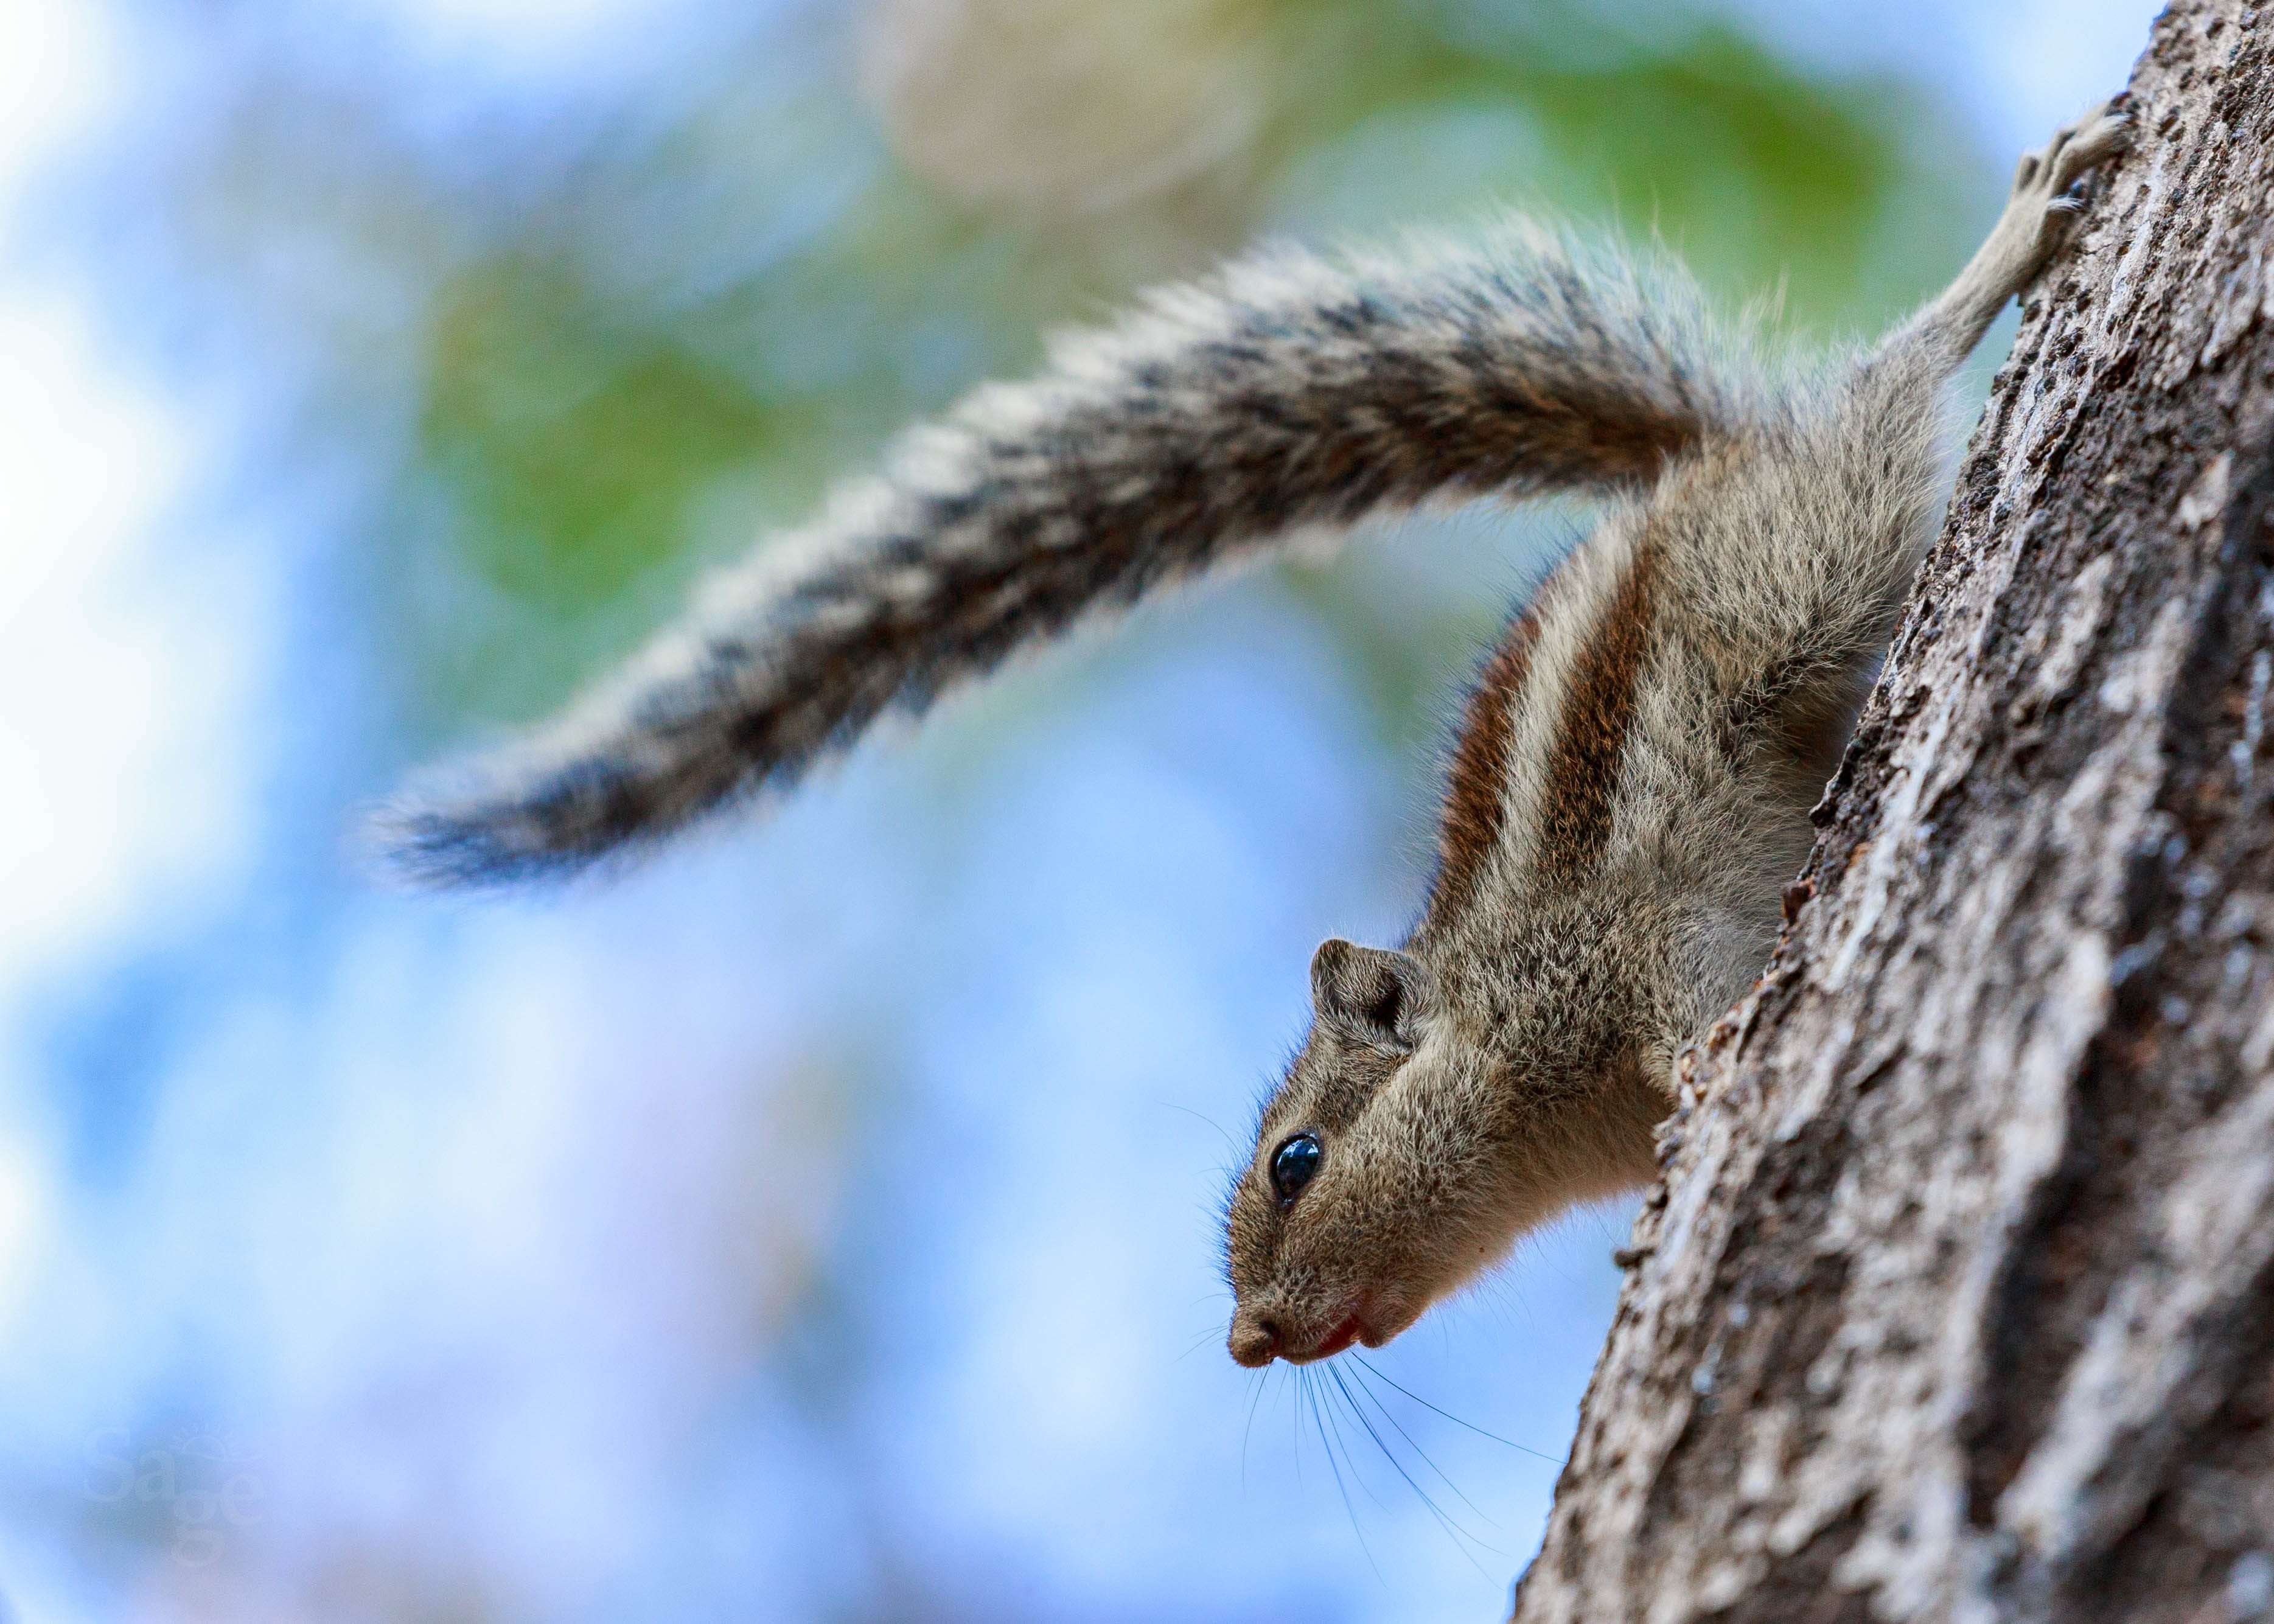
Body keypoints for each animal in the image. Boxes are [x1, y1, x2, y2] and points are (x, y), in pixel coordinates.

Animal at [373, 101, 2131, 1369]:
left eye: (1294, 1162)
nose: (1245, 1338)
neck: (1513, 1056)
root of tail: (1689, 468)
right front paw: (1641, 1231)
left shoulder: (1623, 950)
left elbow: (1695, 1009)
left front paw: (1709, 1074)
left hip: (1795, 557)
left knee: (1887, 385)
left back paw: (2018, 230)